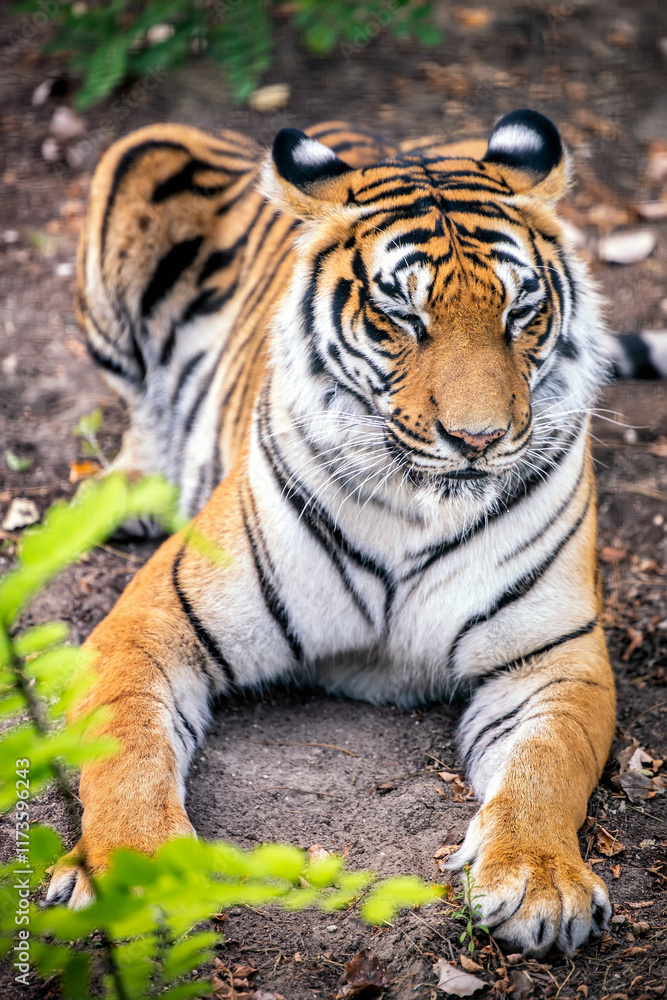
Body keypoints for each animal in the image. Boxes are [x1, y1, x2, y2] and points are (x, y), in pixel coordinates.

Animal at [47, 108, 625, 958]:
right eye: (402, 317)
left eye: (520, 311)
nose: (479, 439)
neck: (417, 505)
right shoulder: (151, 622)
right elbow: (127, 748)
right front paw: (138, 879)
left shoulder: (554, 657)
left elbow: (547, 765)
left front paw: (539, 880)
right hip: (137, 161)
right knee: (137, 401)